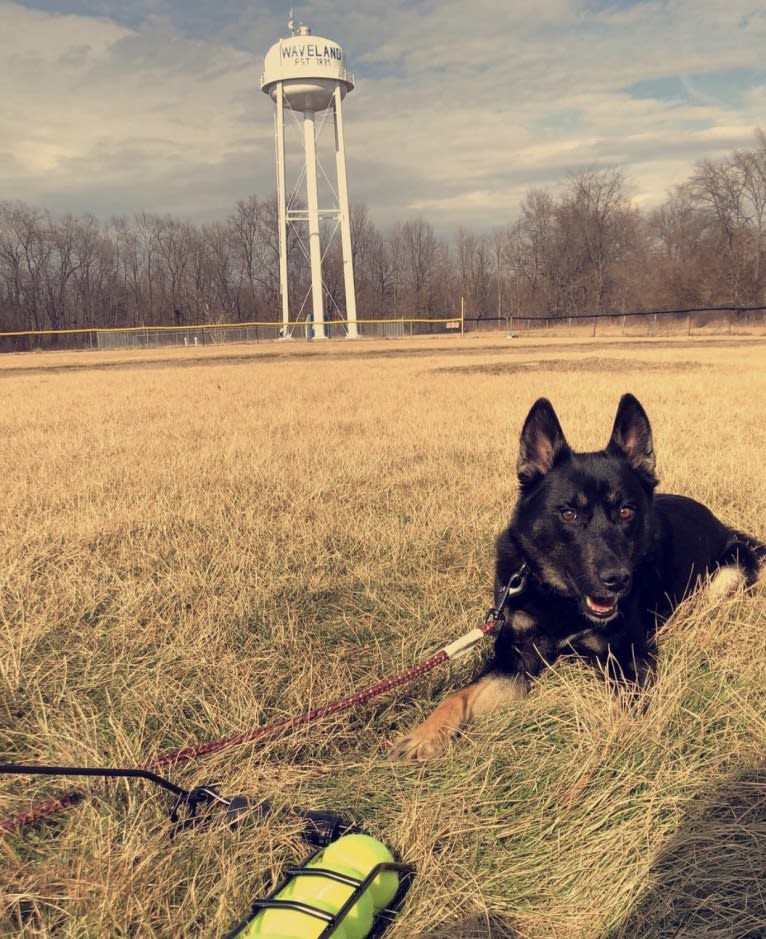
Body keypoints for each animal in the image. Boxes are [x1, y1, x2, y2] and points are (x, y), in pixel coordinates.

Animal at [392, 392, 764, 760]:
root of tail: (722, 524)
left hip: (729, 573)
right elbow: (459, 696)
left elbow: (623, 712)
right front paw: (425, 734)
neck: (561, 600)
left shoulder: (629, 660)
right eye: (569, 514)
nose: (617, 580)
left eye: (625, 511)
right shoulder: (515, 661)